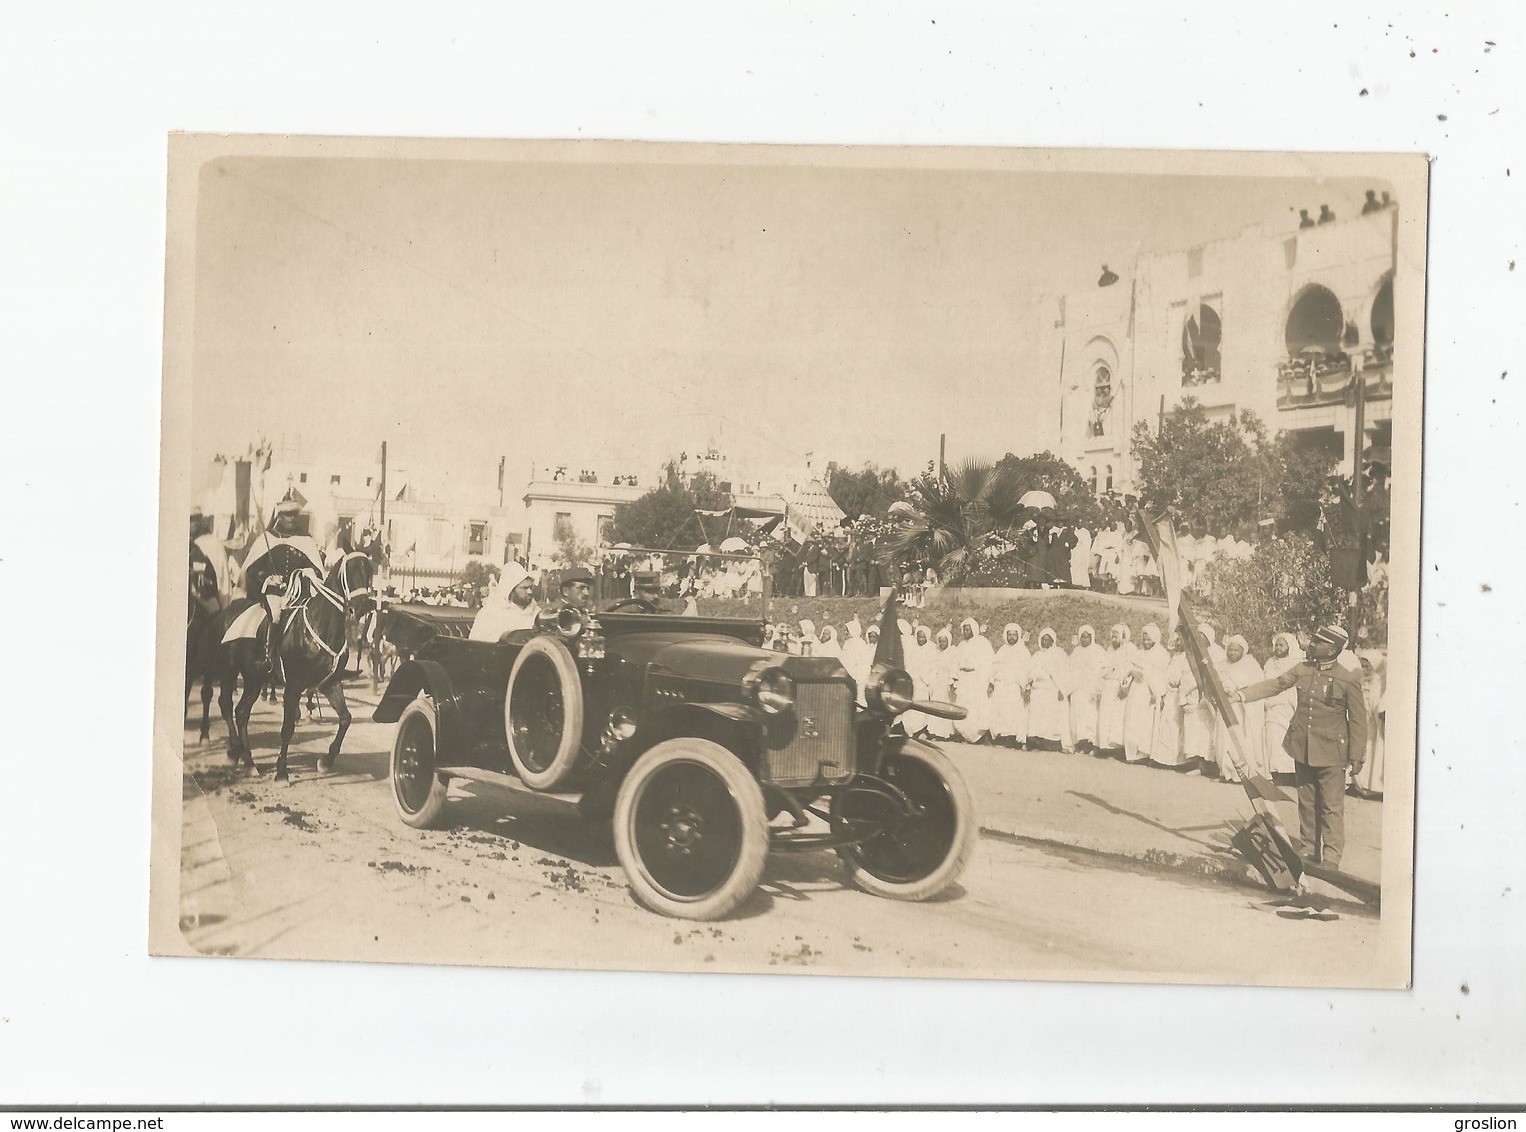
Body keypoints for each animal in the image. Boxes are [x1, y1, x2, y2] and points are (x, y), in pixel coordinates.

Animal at [204, 555, 376, 787]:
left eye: (369, 572)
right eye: (349, 571)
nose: (361, 607)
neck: (320, 626)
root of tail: (226, 613)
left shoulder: (330, 683)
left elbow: (345, 718)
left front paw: (326, 761)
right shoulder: (293, 687)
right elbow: (287, 729)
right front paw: (282, 773)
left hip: (253, 678)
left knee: (241, 713)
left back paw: (249, 763)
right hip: (228, 670)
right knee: (225, 705)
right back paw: (234, 751)